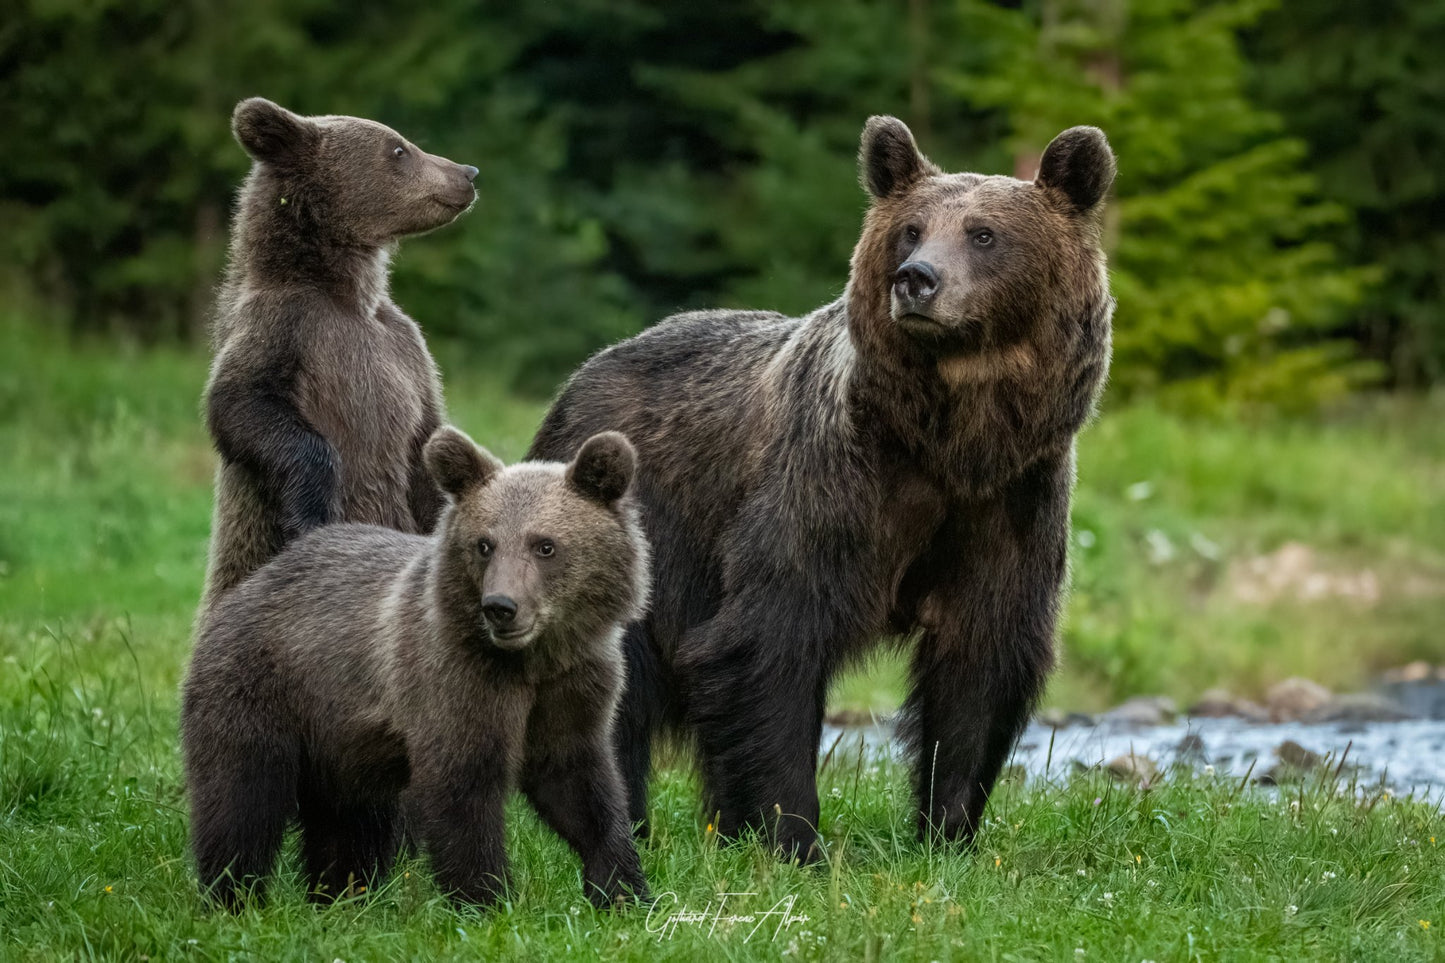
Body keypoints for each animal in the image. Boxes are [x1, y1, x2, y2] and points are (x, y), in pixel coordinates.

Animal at [531, 112, 1115, 856]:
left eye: (983, 233)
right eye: (911, 228)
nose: (916, 279)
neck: (951, 439)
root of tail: (581, 377)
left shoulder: (1009, 501)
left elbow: (980, 666)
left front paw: (948, 833)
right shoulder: (837, 487)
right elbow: (772, 641)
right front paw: (796, 838)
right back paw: (631, 825)